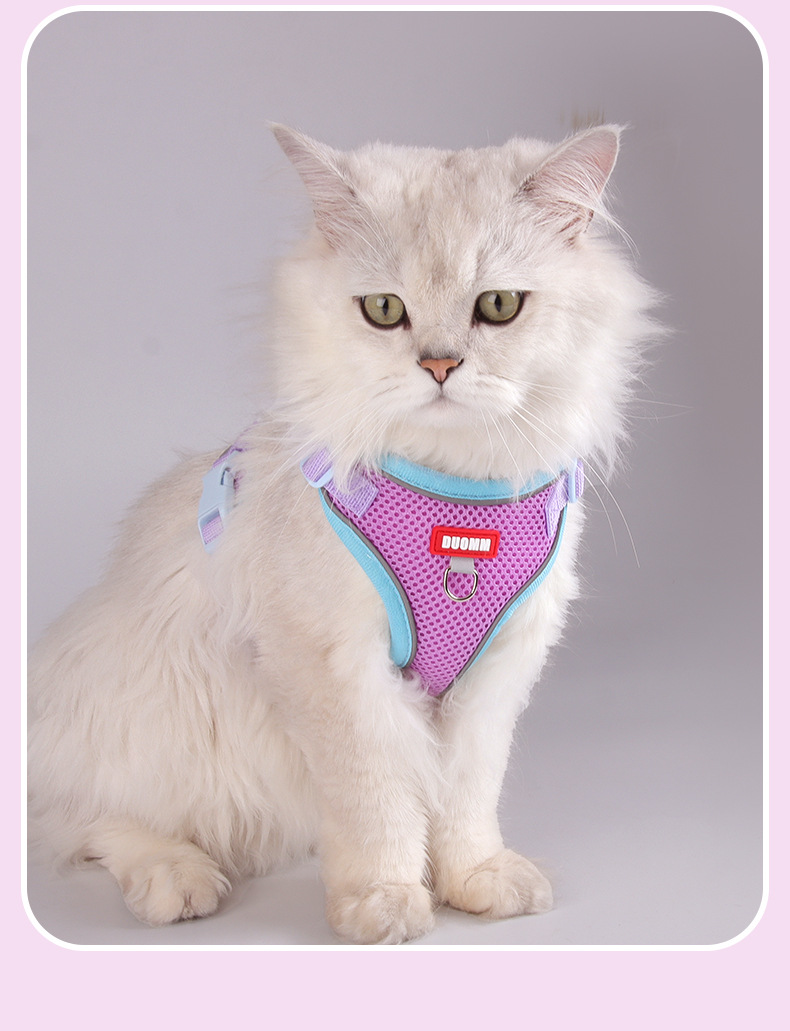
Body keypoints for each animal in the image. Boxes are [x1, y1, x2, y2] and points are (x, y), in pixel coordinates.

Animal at [28, 124, 657, 945]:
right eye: (385, 310)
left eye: (498, 305)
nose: (440, 365)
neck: (457, 497)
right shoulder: (335, 668)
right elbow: (377, 802)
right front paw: (383, 903)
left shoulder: (496, 672)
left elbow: (466, 796)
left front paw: (476, 883)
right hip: (160, 715)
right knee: (90, 816)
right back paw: (177, 879)